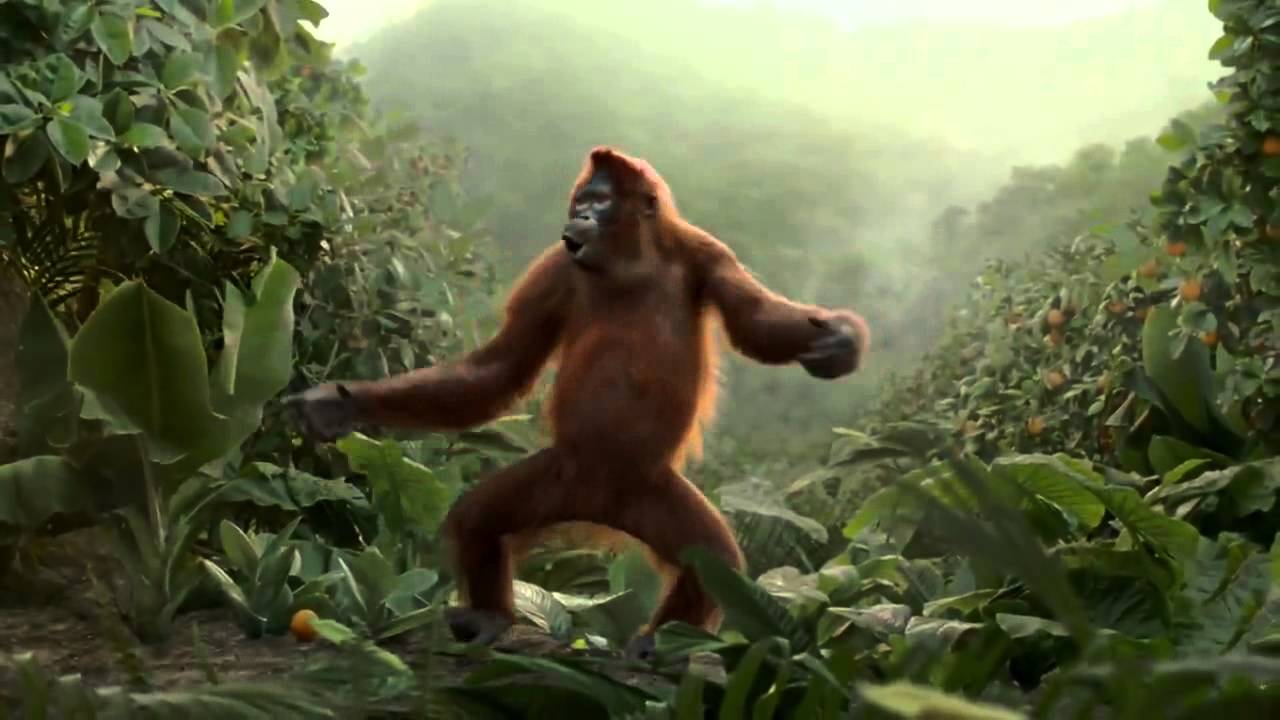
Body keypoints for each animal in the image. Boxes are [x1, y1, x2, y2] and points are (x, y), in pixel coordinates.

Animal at [287, 146, 869, 660]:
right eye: (582, 201)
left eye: (601, 201)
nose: (581, 216)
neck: (631, 265)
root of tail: (602, 503)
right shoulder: (556, 267)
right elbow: (501, 367)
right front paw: (340, 405)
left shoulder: (709, 255)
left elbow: (754, 321)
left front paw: (839, 343)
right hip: (558, 477)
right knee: (481, 518)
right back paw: (491, 615)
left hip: (649, 490)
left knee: (713, 563)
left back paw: (660, 642)